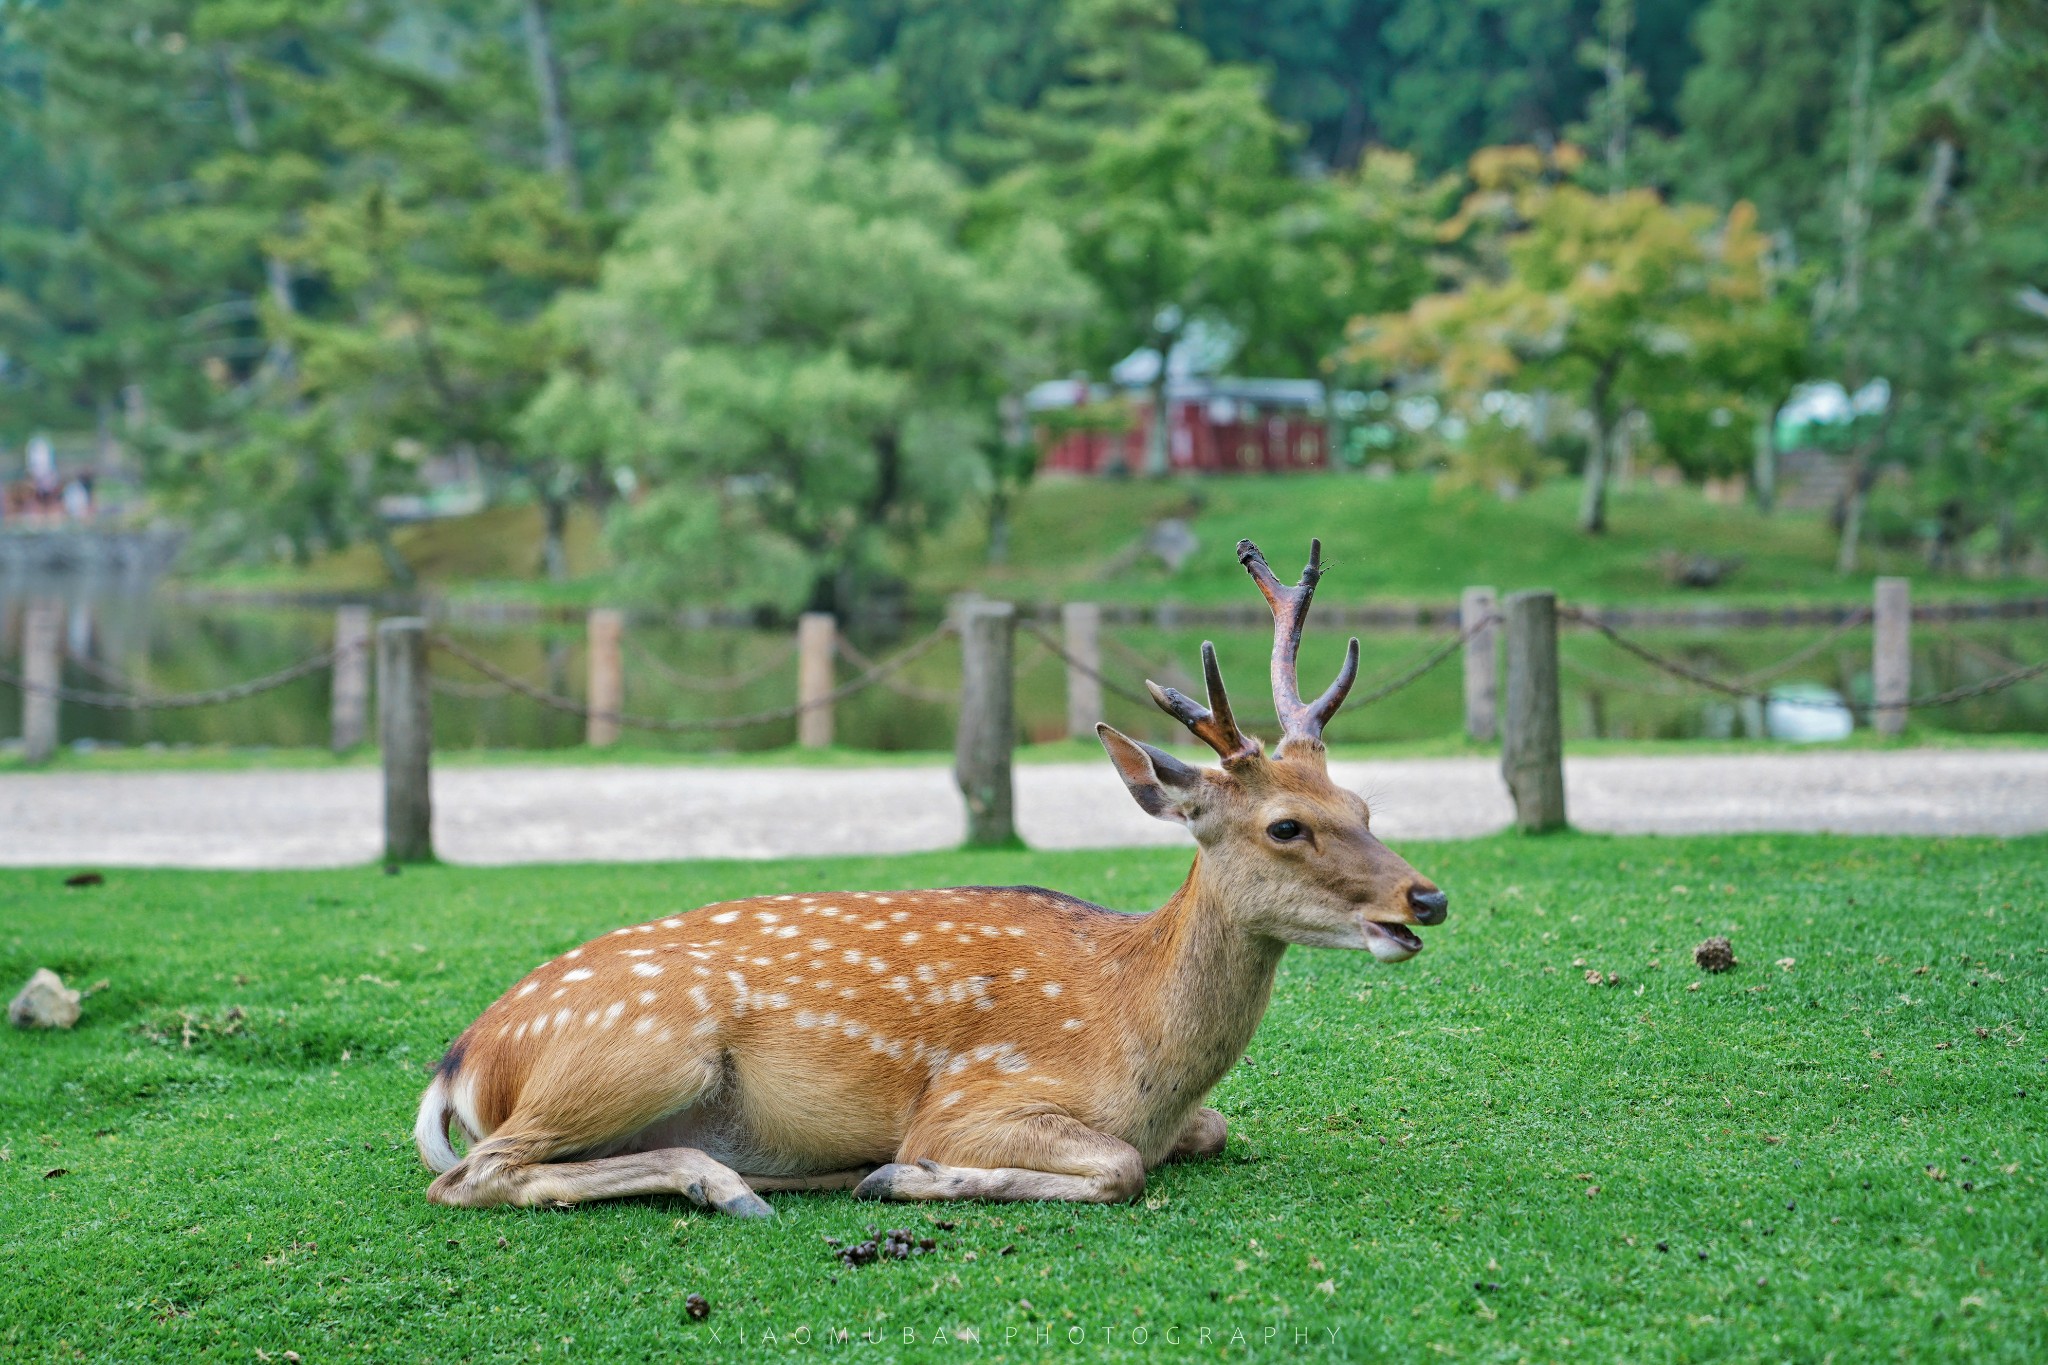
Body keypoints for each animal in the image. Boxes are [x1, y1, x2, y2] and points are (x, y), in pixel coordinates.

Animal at [411, 540, 1441, 1211]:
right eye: (1285, 825)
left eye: (1364, 804)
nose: (1424, 895)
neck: (1141, 1042)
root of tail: (461, 1060)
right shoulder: (976, 1096)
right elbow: (1119, 1166)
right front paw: (903, 1173)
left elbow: (1211, 1130)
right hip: (643, 1046)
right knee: (471, 1175)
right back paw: (730, 1184)